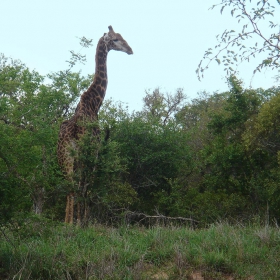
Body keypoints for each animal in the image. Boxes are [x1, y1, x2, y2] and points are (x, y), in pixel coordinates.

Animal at [57, 25, 133, 223]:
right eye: (115, 39)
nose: (130, 50)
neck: (94, 102)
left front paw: (77, 221)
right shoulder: (96, 151)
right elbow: (88, 186)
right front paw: (83, 221)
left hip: (64, 156)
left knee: (70, 186)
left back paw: (66, 223)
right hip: (82, 154)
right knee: (80, 186)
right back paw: (74, 222)